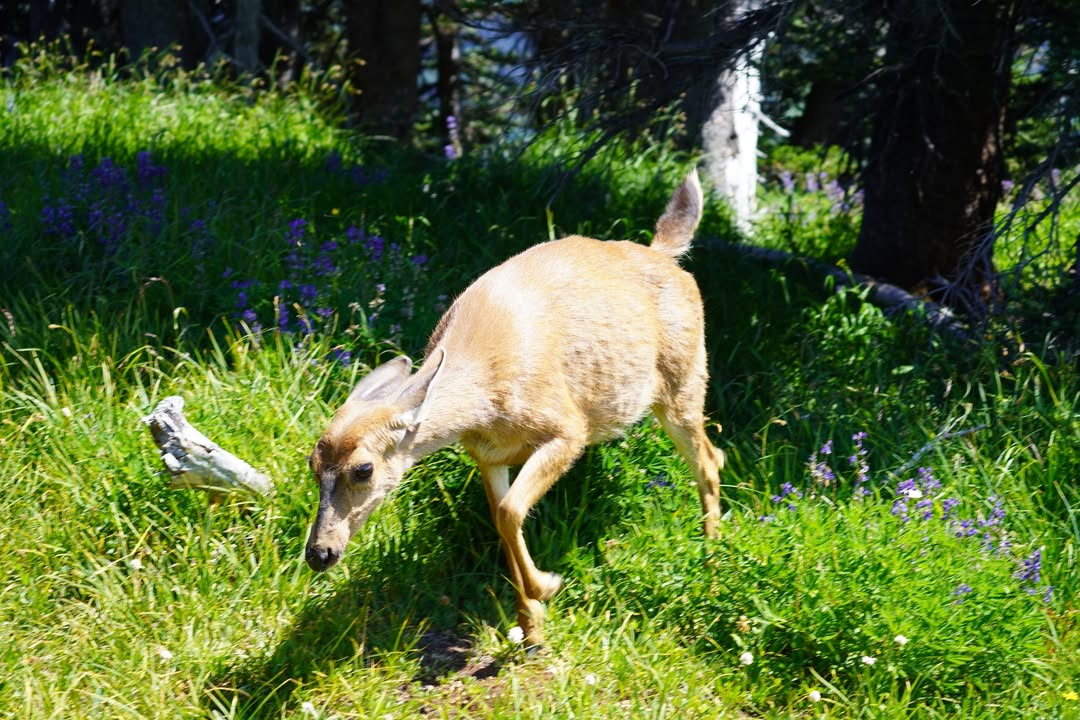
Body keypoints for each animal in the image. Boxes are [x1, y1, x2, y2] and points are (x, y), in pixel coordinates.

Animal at [304, 170, 725, 647]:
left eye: (363, 469)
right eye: (312, 466)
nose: (319, 554)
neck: (483, 396)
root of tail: (665, 253)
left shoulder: (567, 427)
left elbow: (508, 513)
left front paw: (546, 586)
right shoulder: (488, 455)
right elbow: (502, 517)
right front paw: (532, 624)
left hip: (683, 382)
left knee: (710, 457)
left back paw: (712, 554)